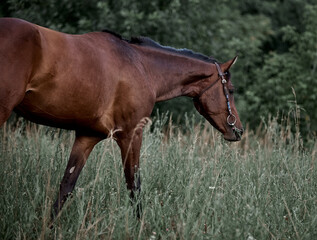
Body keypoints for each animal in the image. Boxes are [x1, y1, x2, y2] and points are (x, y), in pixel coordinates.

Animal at [0, 17, 243, 220]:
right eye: (230, 90)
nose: (238, 131)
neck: (142, 66)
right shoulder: (131, 134)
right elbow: (134, 187)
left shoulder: (87, 137)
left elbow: (66, 187)